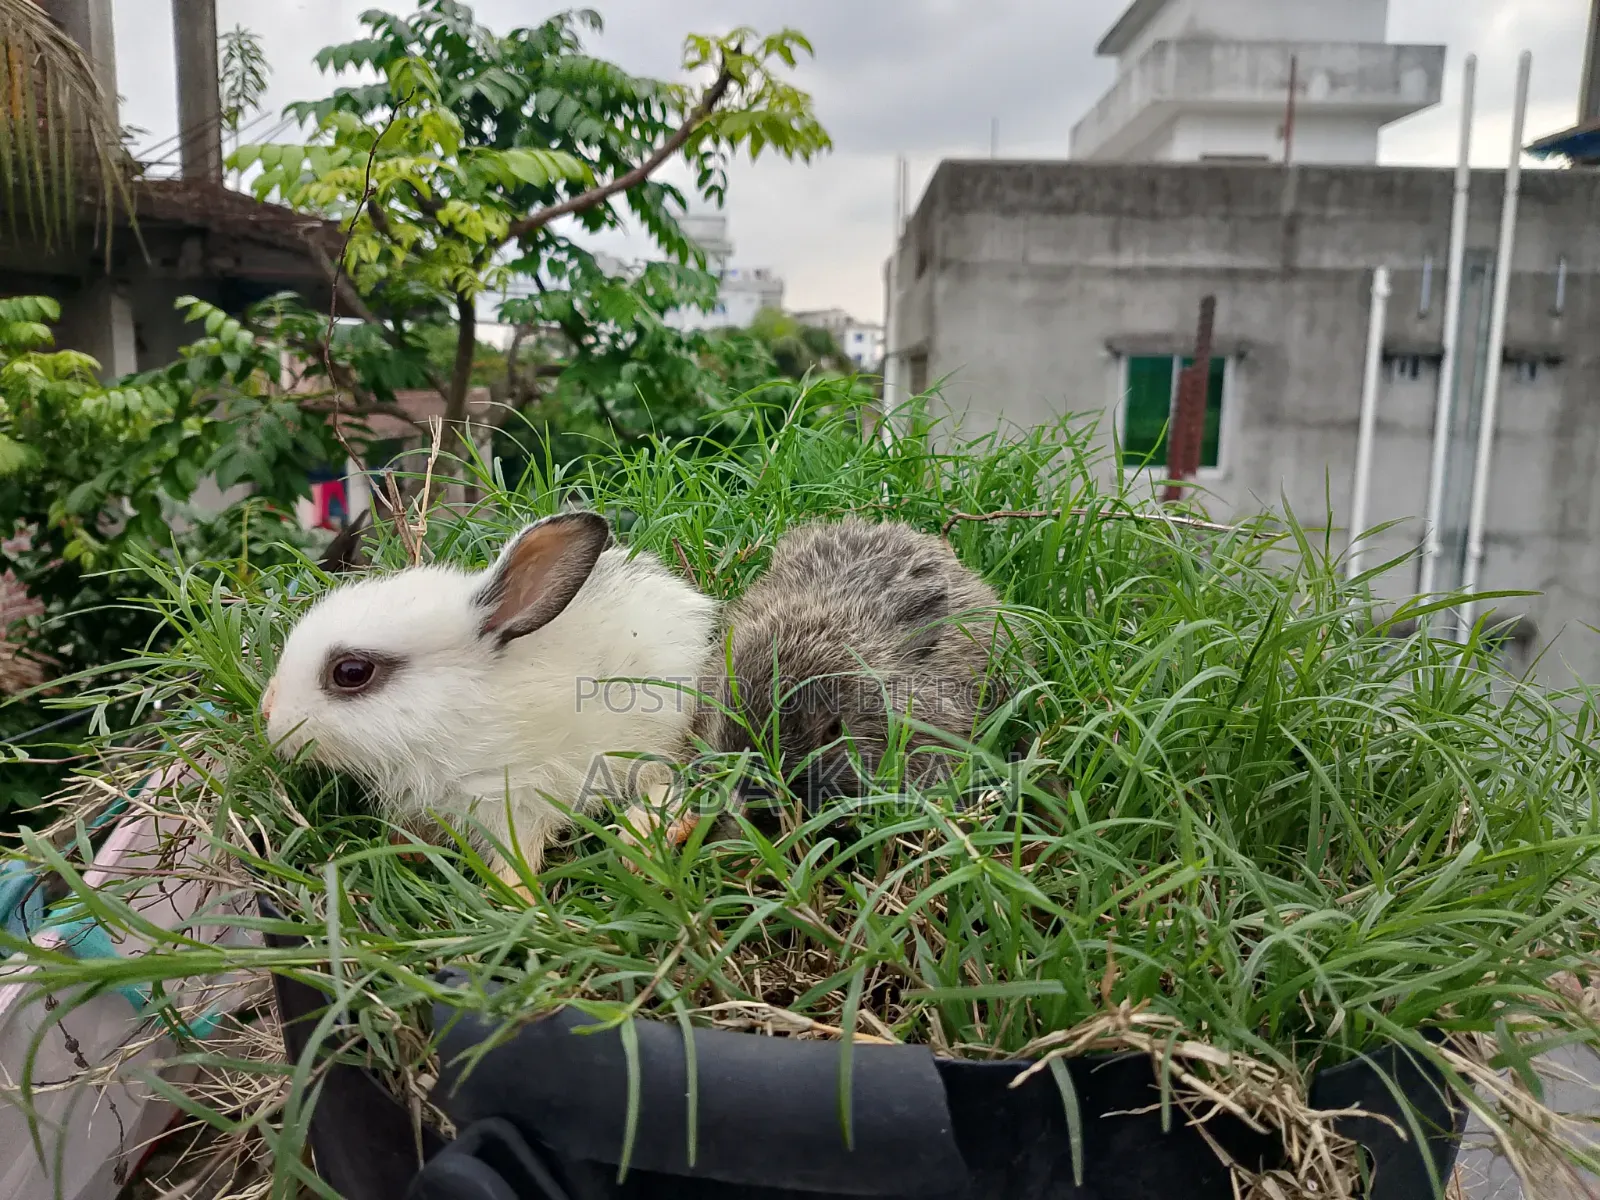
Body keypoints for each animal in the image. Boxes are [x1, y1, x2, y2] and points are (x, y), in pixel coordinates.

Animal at [260, 511, 719, 890]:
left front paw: (514, 900)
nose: (270, 716)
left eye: (352, 672)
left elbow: (516, 861)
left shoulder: (519, 800)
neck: (458, 712)